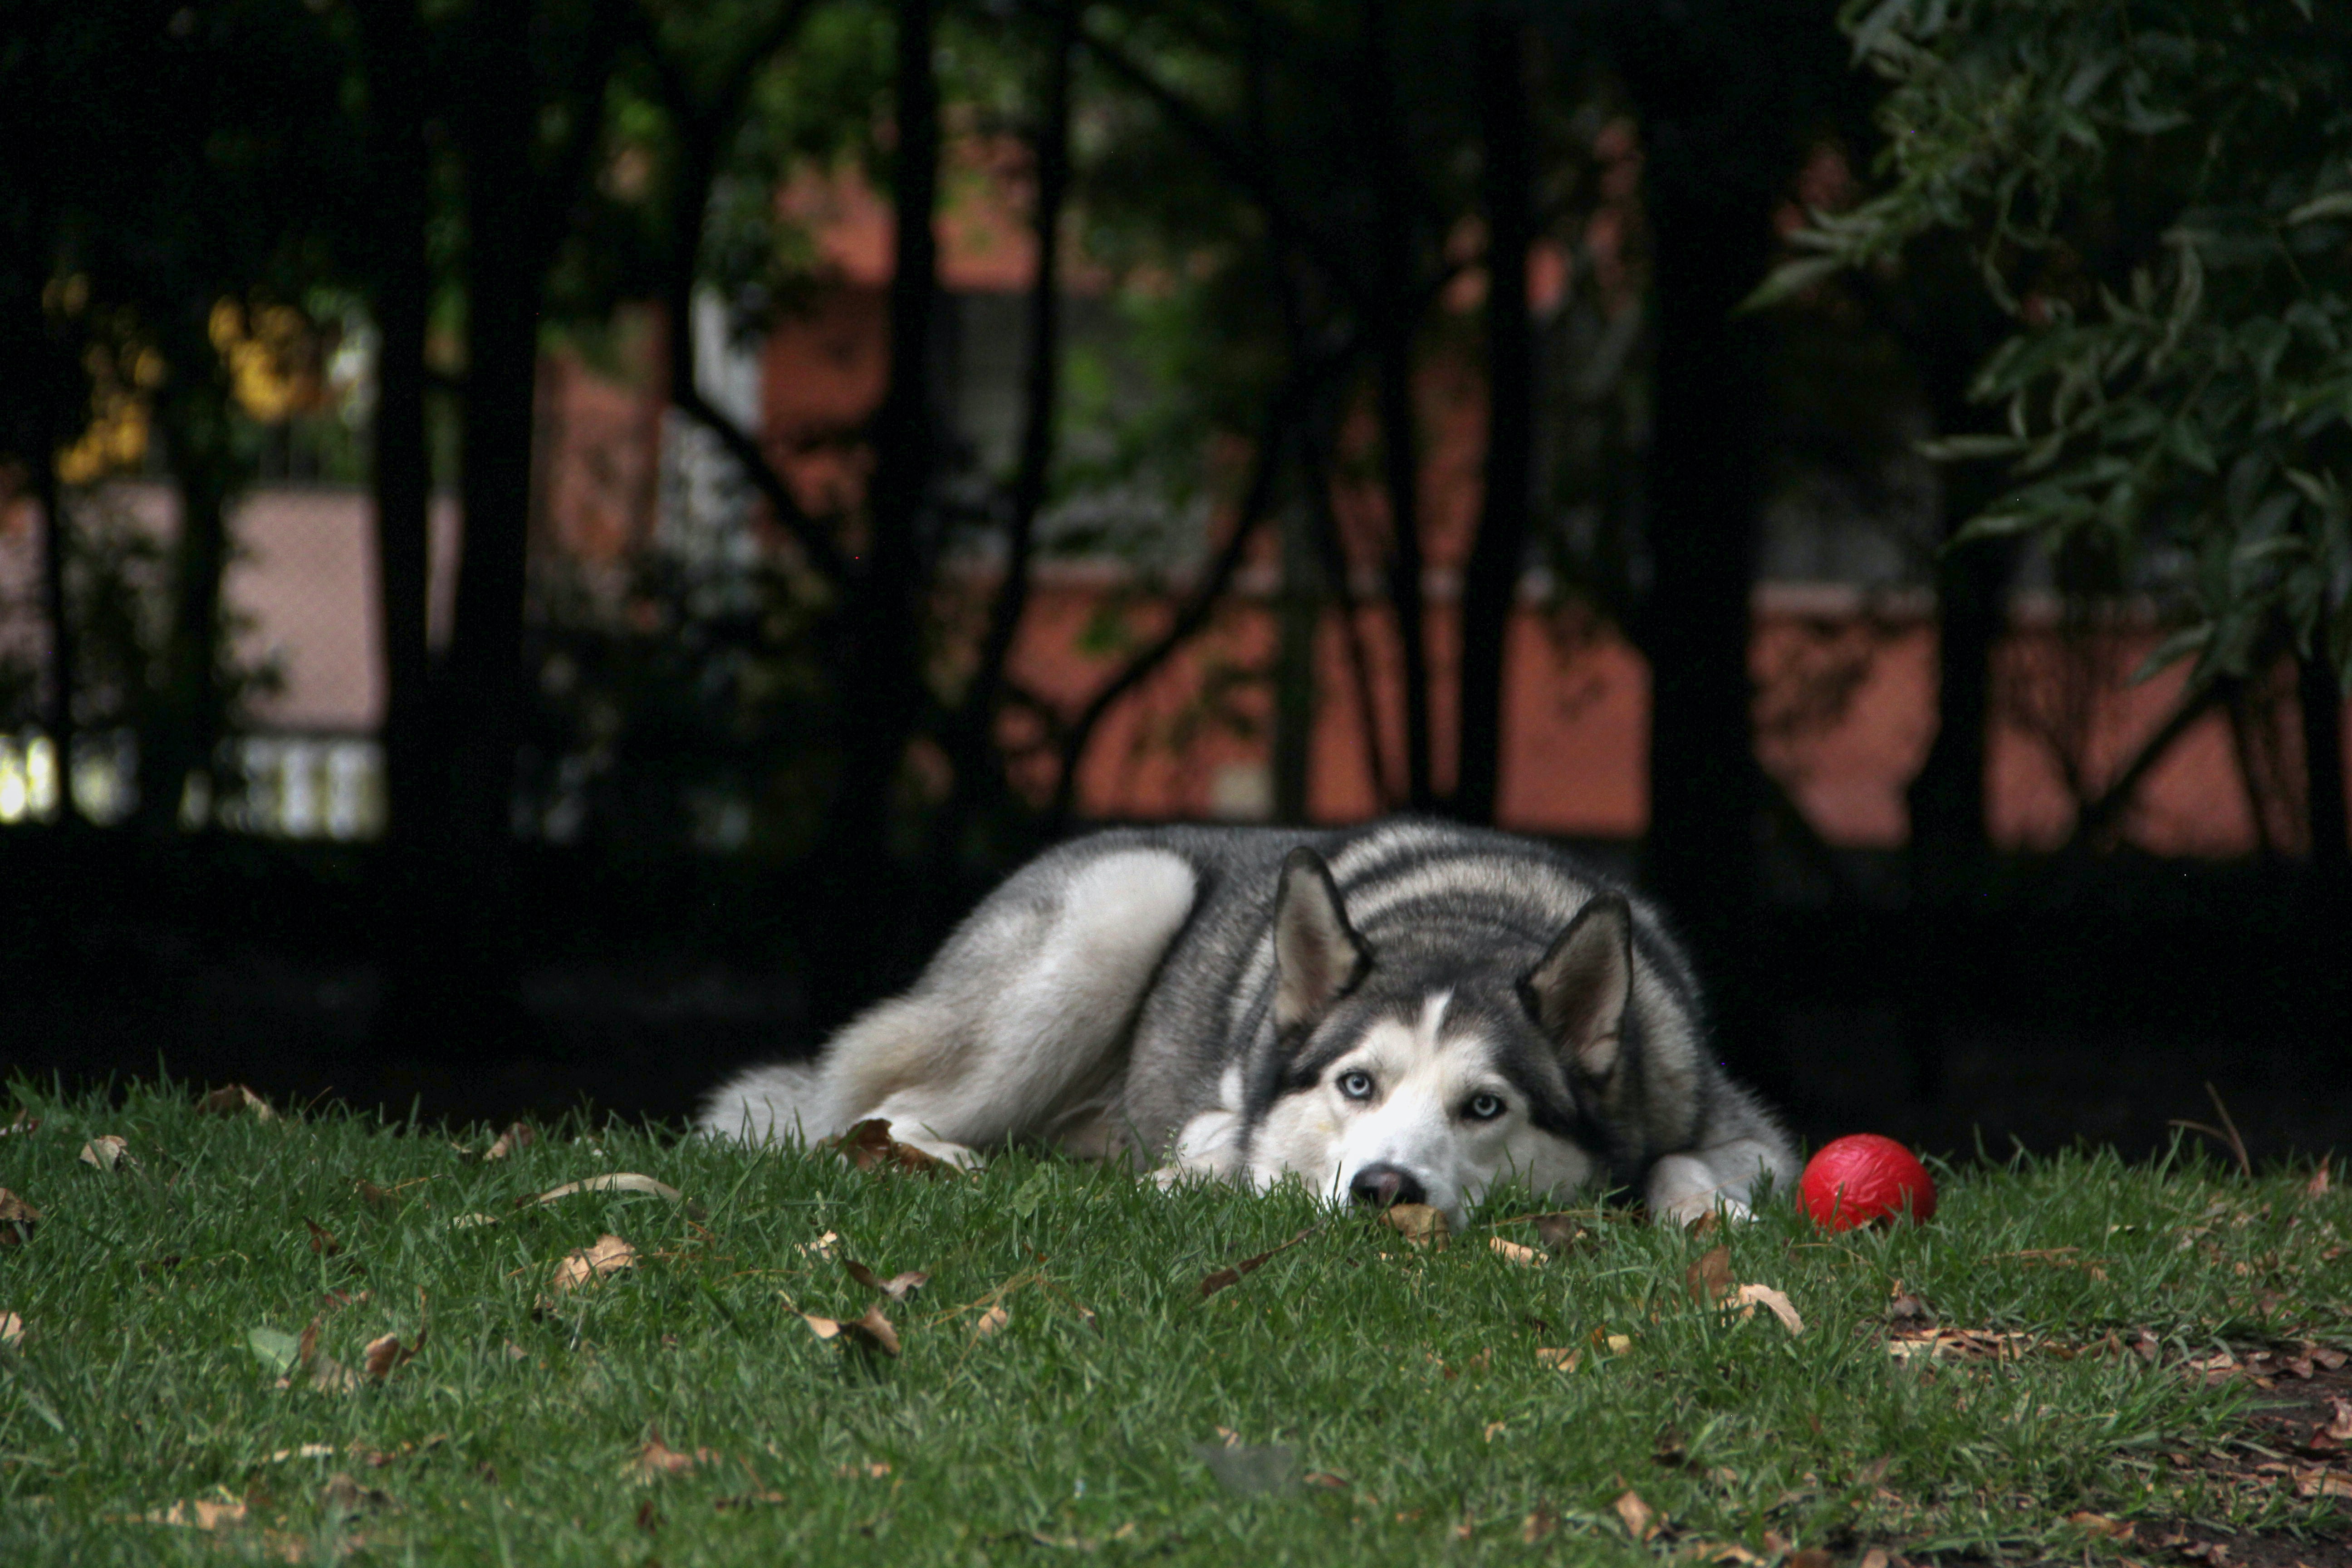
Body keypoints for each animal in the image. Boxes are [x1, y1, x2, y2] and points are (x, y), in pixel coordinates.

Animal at [686, 823, 1787, 1222]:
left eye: (1485, 1107)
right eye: (1356, 1086)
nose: (1384, 1189)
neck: (1469, 919)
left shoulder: (1745, 1130)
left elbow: (1685, 1160)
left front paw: (1703, 1212)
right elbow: (1232, 1141)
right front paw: (1212, 1163)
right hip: (1122, 899)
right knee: (870, 1112)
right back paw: (941, 1159)